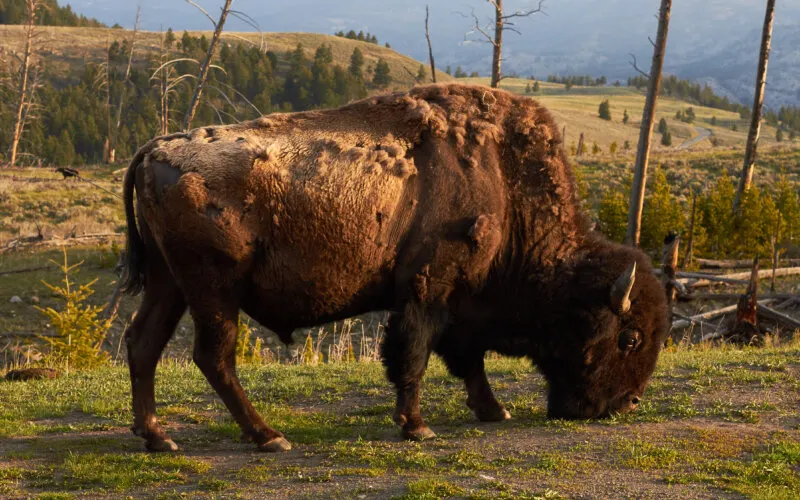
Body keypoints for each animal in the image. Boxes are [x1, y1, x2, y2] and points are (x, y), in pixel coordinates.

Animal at [119, 83, 668, 454]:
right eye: (629, 338)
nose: (627, 404)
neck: (502, 181)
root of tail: (154, 149)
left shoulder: (459, 304)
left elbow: (466, 359)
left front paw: (494, 410)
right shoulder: (428, 290)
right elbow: (415, 355)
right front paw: (417, 426)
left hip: (170, 284)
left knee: (143, 343)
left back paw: (158, 438)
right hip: (213, 290)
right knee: (214, 356)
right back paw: (269, 437)